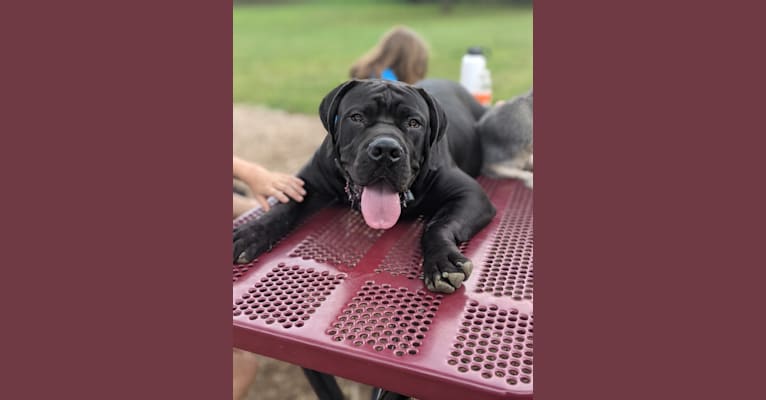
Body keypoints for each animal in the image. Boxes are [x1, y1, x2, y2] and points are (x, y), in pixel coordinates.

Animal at [234, 79, 498, 294]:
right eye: (357, 117)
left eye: (414, 123)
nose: (386, 150)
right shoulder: (306, 183)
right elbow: (283, 208)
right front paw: (249, 234)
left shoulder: (470, 194)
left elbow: (438, 225)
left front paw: (442, 261)